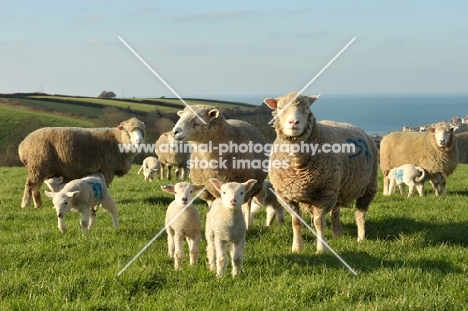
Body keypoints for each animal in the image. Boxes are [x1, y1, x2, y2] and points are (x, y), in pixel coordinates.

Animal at [266, 91, 378, 255]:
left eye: (306, 108)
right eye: (280, 107)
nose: (294, 122)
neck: (298, 164)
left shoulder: (323, 193)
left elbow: (319, 222)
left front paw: (321, 249)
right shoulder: (287, 196)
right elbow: (296, 222)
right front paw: (297, 248)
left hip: (368, 186)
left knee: (359, 214)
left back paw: (361, 237)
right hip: (337, 187)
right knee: (335, 211)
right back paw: (337, 234)